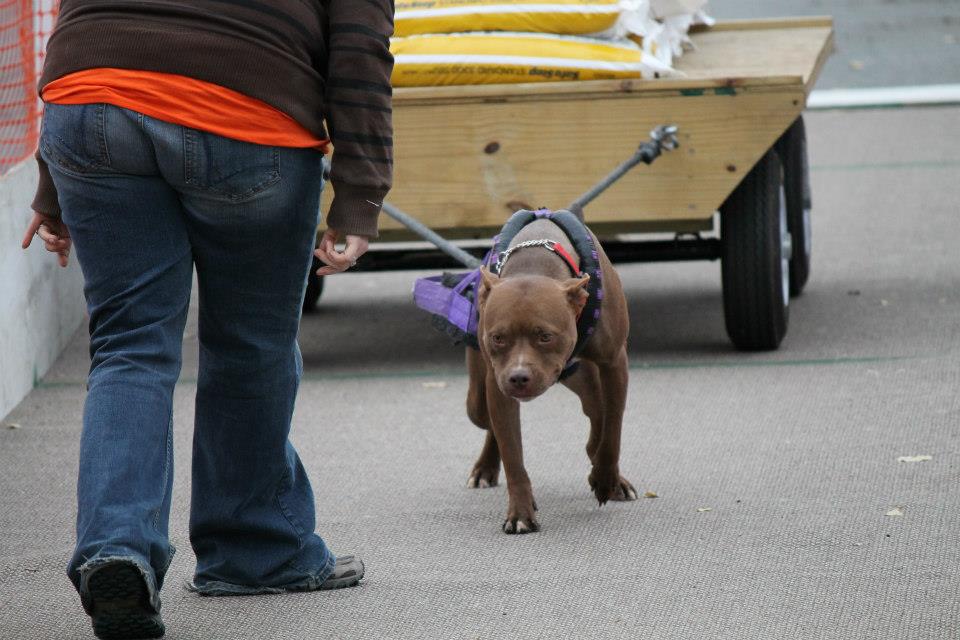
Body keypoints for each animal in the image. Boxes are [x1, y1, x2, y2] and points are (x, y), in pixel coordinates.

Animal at [464, 211, 636, 536]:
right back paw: (485, 468)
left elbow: (613, 430)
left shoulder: (614, 364)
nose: (518, 377)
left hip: (585, 378)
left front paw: (605, 478)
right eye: (498, 338)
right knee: (487, 421)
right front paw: (520, 512)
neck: (535, 261)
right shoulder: (498, 385)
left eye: (545, 336)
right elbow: (512, 454)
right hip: (478, 399)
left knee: (598, 414)